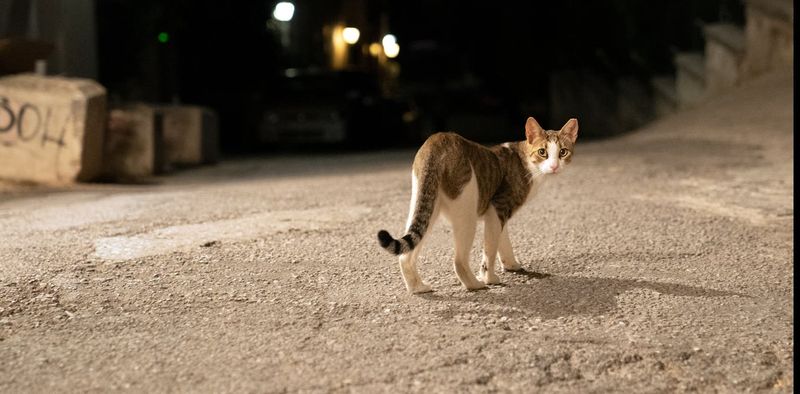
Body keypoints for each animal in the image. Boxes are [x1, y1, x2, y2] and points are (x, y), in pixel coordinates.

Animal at [378, 117, 580, 292]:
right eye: (542, 152)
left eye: (563, 152)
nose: (554, 166)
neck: (526, 162)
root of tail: (438, 139)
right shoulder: (497, 207)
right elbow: (489, 249)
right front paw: (489, 278)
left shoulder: (500, 215)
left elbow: (503, 241)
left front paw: (511, 264)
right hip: (467, 210)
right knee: (458, 261)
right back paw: (475, 285)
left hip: (425, 203)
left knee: (406, 254)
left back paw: (417, 288)